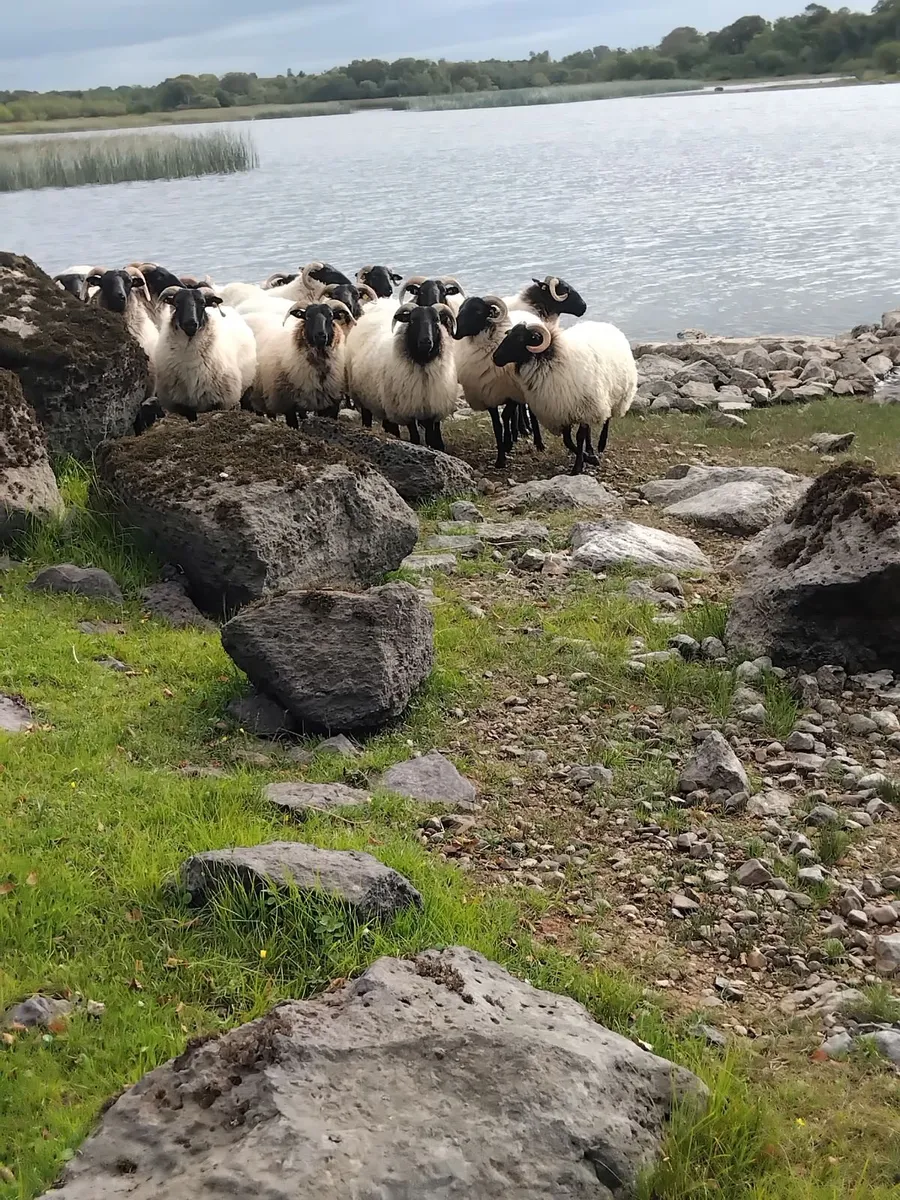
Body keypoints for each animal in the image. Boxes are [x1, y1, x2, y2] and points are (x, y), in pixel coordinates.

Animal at [453, 295, 544, 468]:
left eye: (477, 310)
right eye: (460, 308)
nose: (455, 333)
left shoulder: (512, 393)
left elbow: (506, 416)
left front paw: (507, 445)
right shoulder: (489, 395)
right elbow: (498, 425)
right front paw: (501, 457)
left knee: (529, 413)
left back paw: (537, 441)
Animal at [492, 319, 637, 475]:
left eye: (519, 338)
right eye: (508, 334)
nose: (495, 357)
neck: (551, 360)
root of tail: (607, 324)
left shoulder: (584, 408)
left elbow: (579, 437)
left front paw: (579, 466)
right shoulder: (562, 412)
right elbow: (568, 440)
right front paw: (588, 457)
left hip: (615, 396)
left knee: (607, 419)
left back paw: (601, 445)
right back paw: (590, 450)